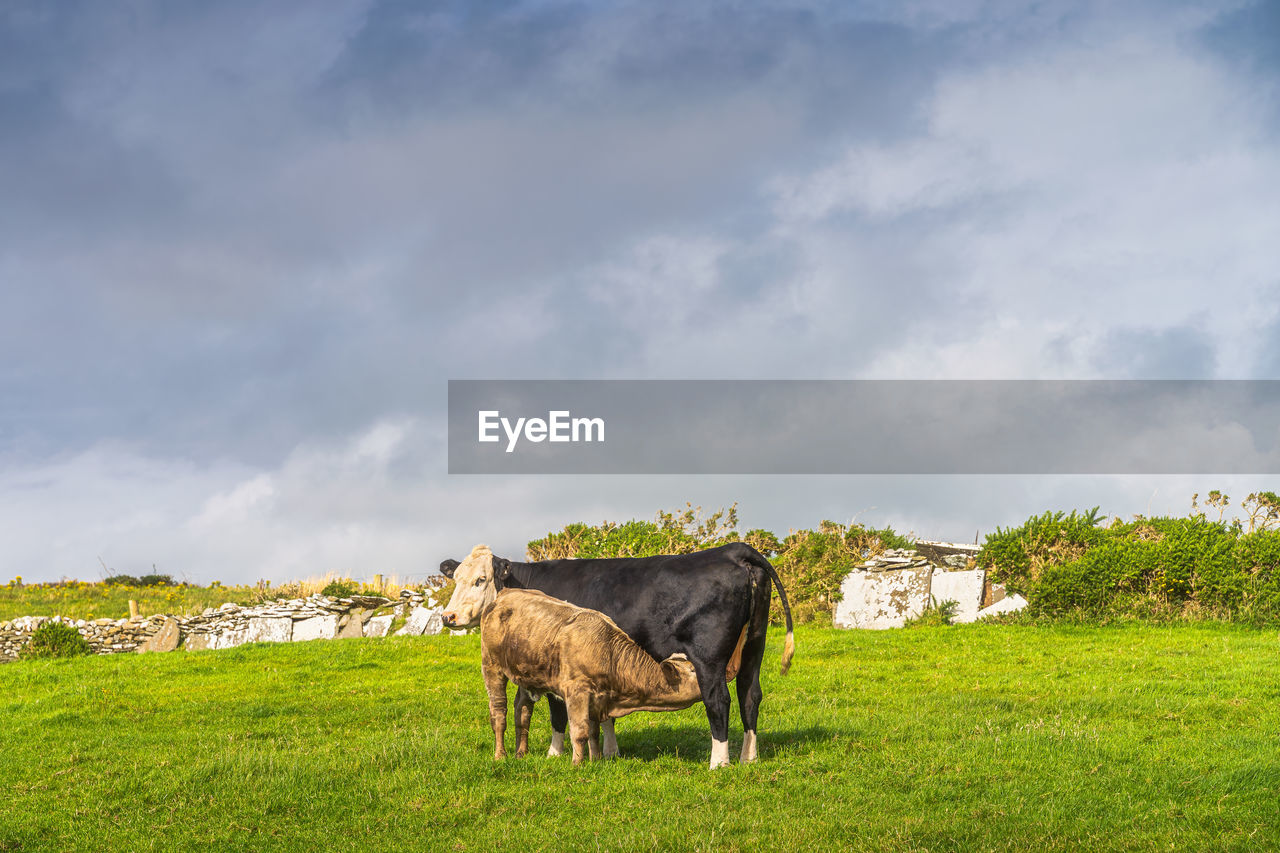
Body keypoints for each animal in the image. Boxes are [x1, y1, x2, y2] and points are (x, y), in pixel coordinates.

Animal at [481, 589, 701, 758]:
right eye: (692, 670)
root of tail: (505, 593)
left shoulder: (598, 698)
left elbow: (594, 732)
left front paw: (595, 760)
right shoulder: (576, 692)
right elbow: (580, 732)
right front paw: (577, 764)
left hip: (526, 675)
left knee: (522, 711)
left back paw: (521, 753)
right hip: (491, 666)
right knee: (499, 713)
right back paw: (501, 755)